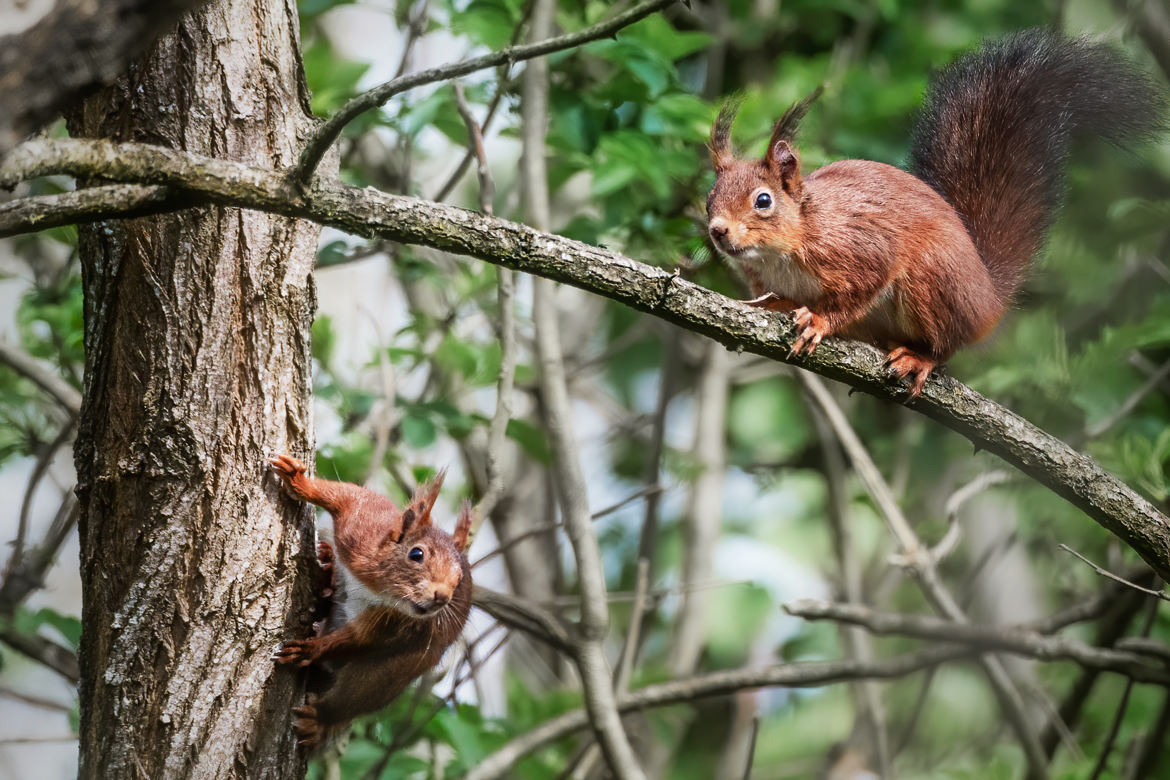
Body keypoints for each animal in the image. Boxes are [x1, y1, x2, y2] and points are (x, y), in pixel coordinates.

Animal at [271, 453, 472, 753]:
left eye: (459, 579)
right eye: (416, 554)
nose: (442, 598)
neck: (378, 586)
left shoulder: (389, 621)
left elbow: (358, 639)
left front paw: (311, 649)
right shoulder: (360, 527)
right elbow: (344, 495)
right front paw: (299, 480)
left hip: (388, 674)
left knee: (352, 697)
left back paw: (320, 719)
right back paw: (328, 566)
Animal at [706, 29, 1165, 397]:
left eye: (763, 200)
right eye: (709, 198)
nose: (717, 231)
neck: (790, 242)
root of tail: (987, 297)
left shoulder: (858, 247)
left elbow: (861, 287)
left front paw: (819, 320)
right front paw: (775, 306)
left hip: (931, 280)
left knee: (946, 346)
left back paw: (920, 359)